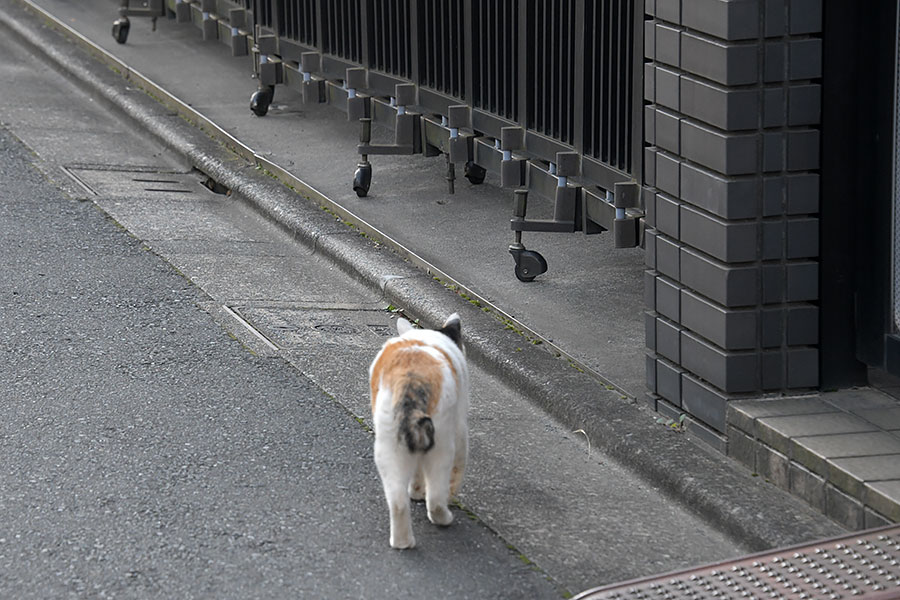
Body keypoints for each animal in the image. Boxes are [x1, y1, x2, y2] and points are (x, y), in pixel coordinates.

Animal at [368, 314, 472, 548]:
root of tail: (410, 382)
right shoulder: (460, 427)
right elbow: (457, 470)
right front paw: (449, 495)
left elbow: (416, 474)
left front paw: (415, 492)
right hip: (442, 443)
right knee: (435, 497)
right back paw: (444, 517)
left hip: (388, 447)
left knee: (397, 501)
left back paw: (402, 542)